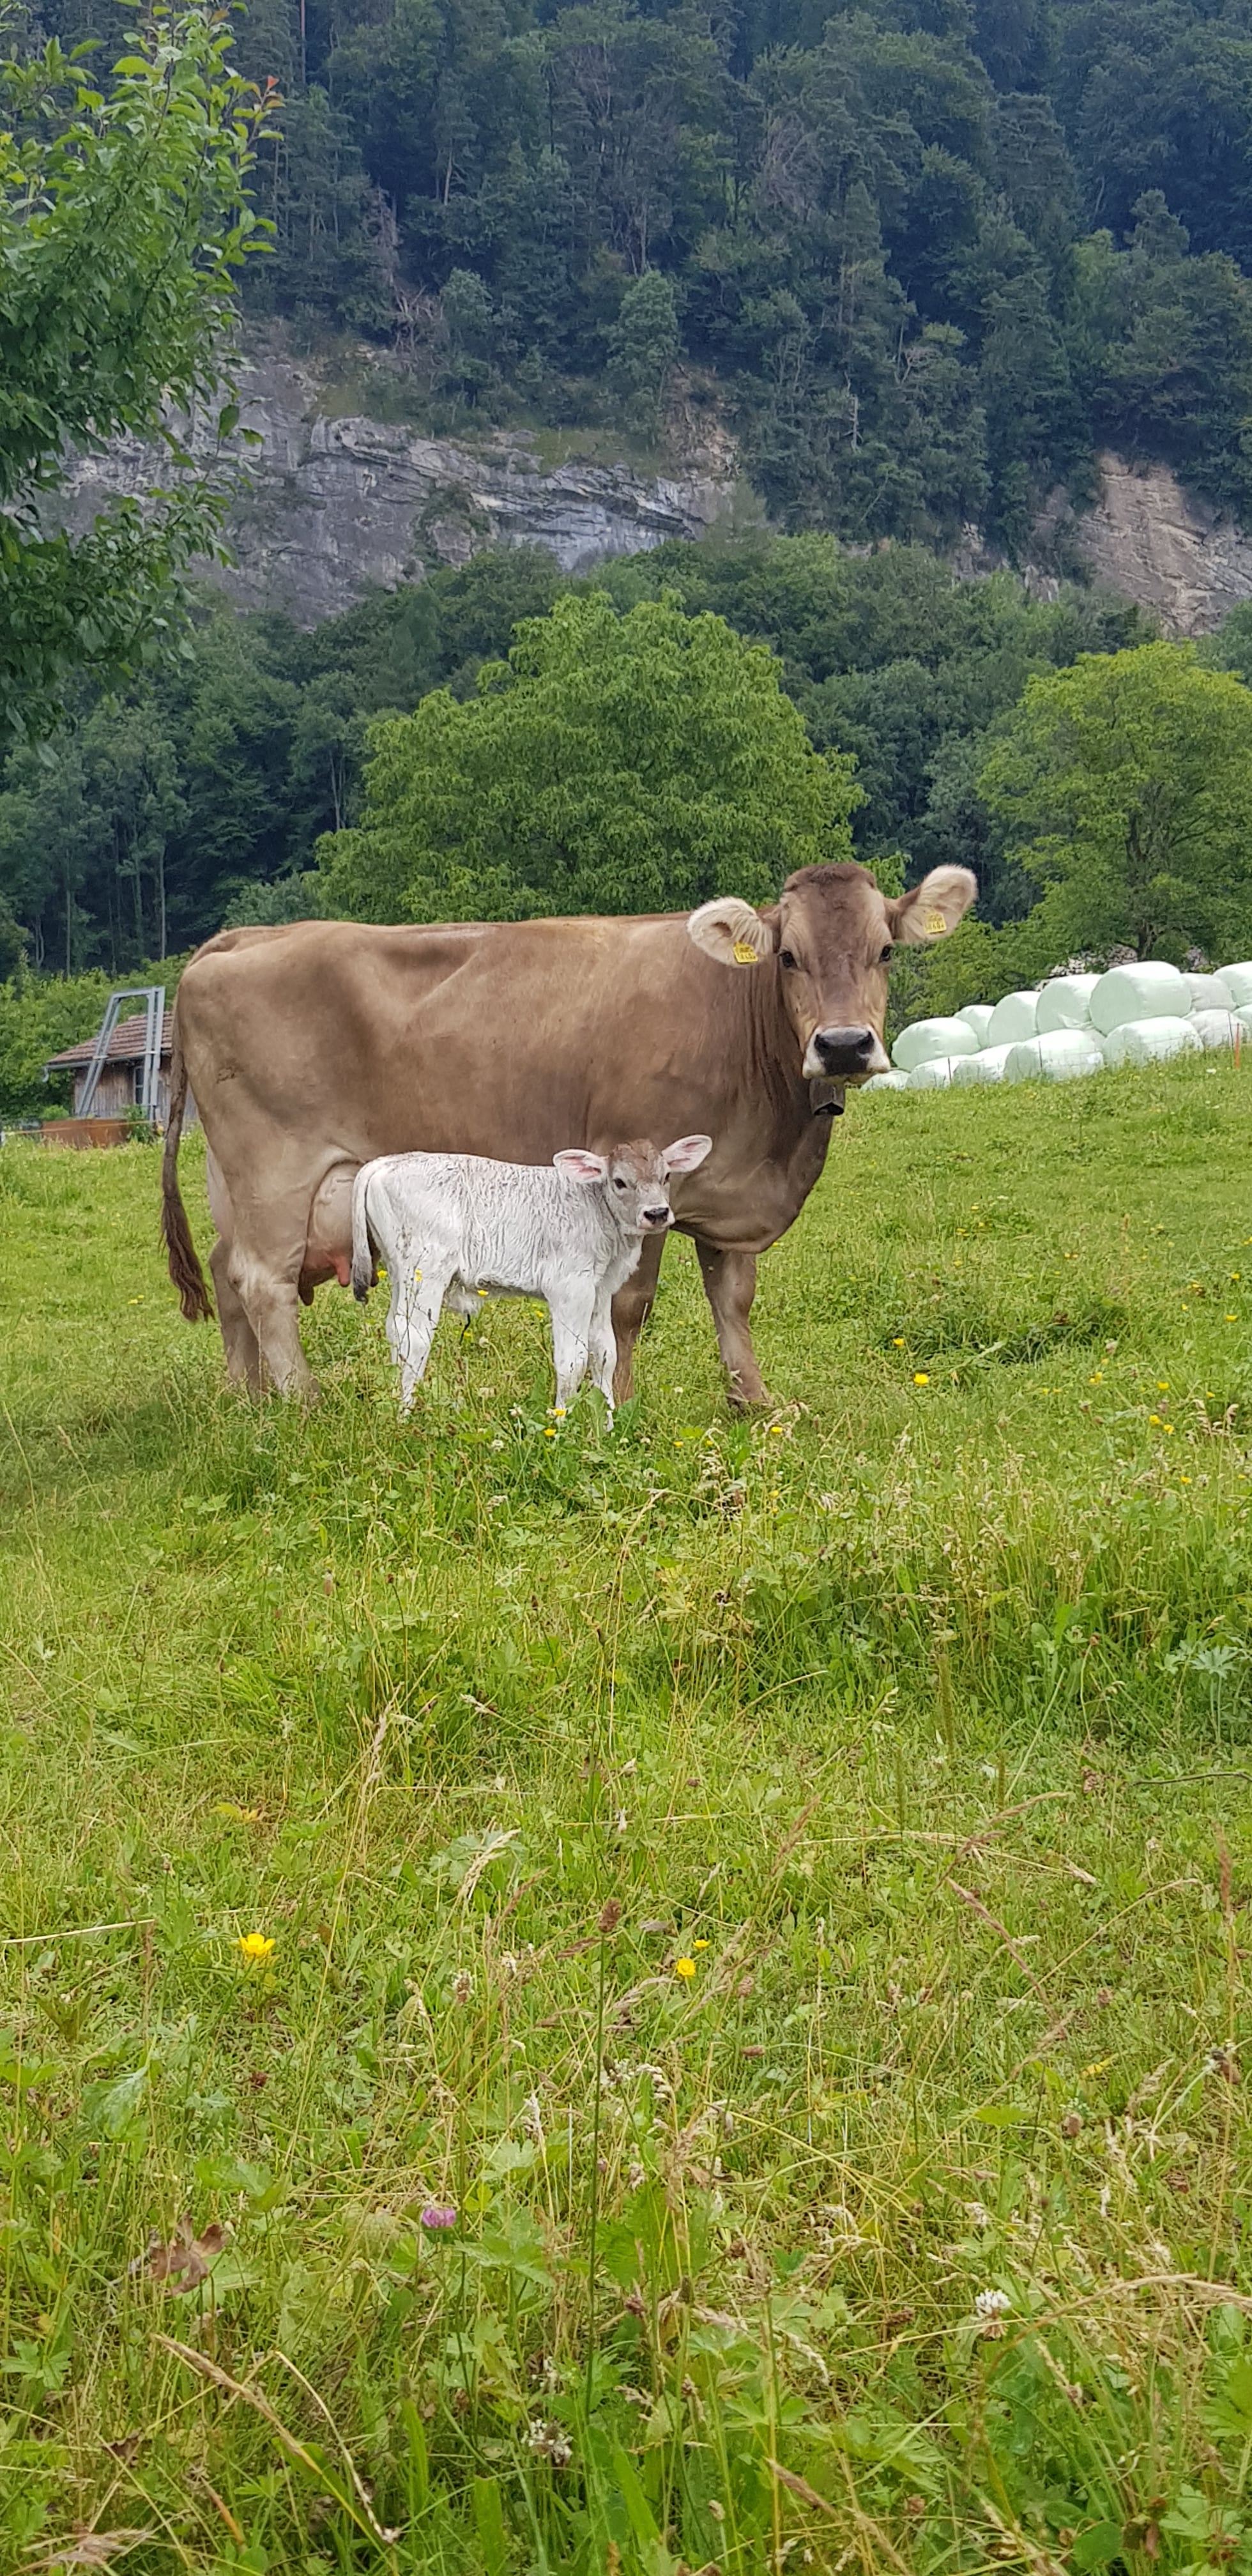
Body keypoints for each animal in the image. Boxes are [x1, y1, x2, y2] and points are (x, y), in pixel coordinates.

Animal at [350, 1134, 713, 1413]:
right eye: (620, 1181)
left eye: (666, 1176)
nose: (657, 1213)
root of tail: (387, 1162)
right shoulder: (570, 1288)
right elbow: (572, 1361)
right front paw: (563, 1423)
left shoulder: (600, 1291)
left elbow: (605, 1356)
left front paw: (608, 1425)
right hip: (426, 1271)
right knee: (415, 1338)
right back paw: (406, 1414)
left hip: (401, 1271)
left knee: (395, 1328)